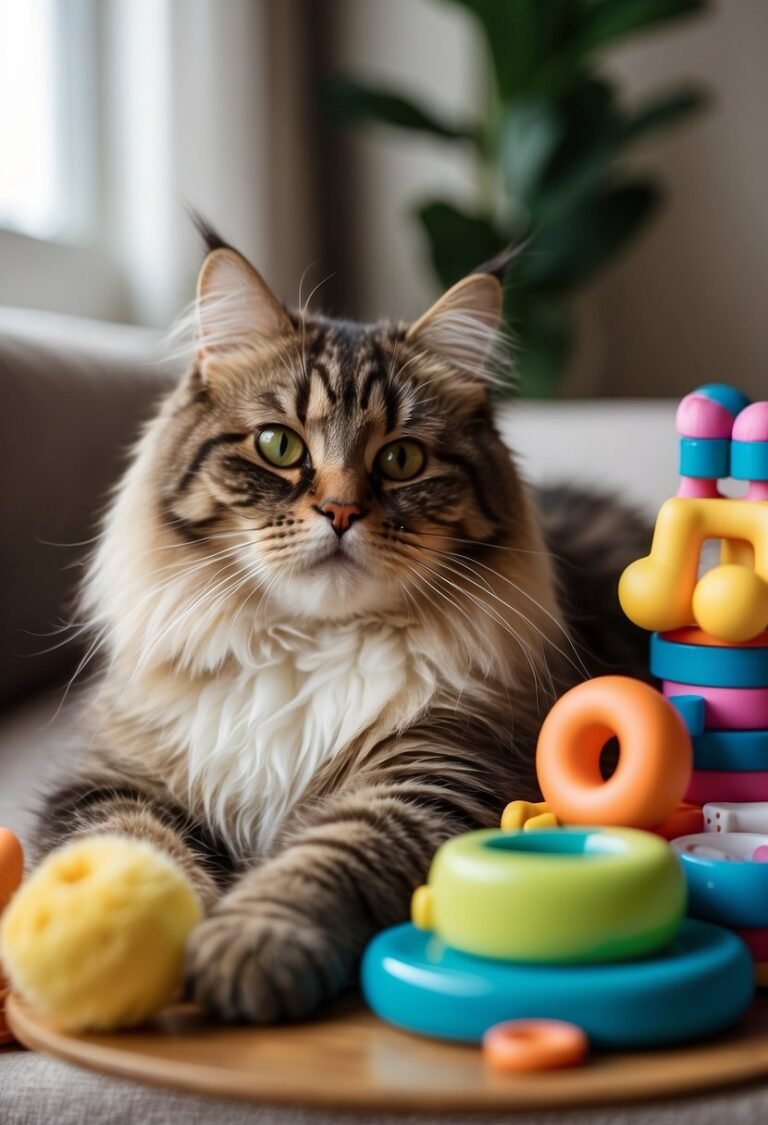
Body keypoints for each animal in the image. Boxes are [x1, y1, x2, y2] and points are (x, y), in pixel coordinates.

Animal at [35, 226, 647, 1021]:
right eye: (279, 446)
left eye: (402, 458)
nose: (341, 511)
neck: (305, 646)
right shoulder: (113, 783)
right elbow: (132, 848)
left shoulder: (430, 776)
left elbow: (325, 859)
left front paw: (246, 948)